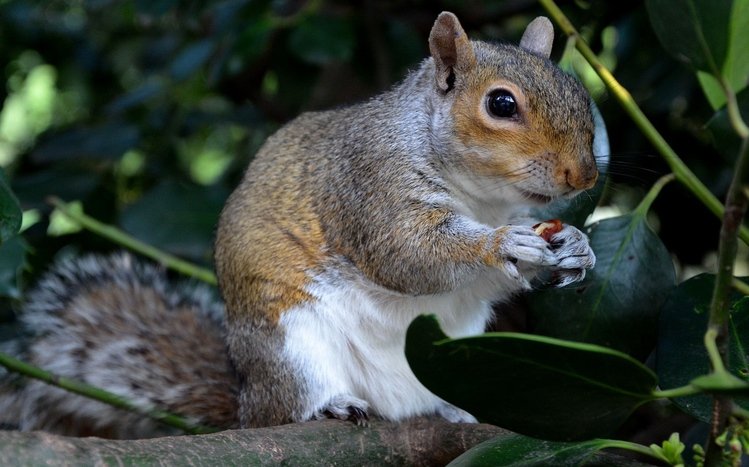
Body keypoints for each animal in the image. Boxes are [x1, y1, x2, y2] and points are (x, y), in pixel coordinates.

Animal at [0, 12, 598, 438]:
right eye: (501, 104)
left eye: (579, 93)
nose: (585, 175)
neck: (483, 200)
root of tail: (248, 405)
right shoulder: (370, 185)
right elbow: (407, 255)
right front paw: (503, 245)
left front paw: (576, 246)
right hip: (291, 341)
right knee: (291, 402)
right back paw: (328, 406)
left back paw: (452, 410)